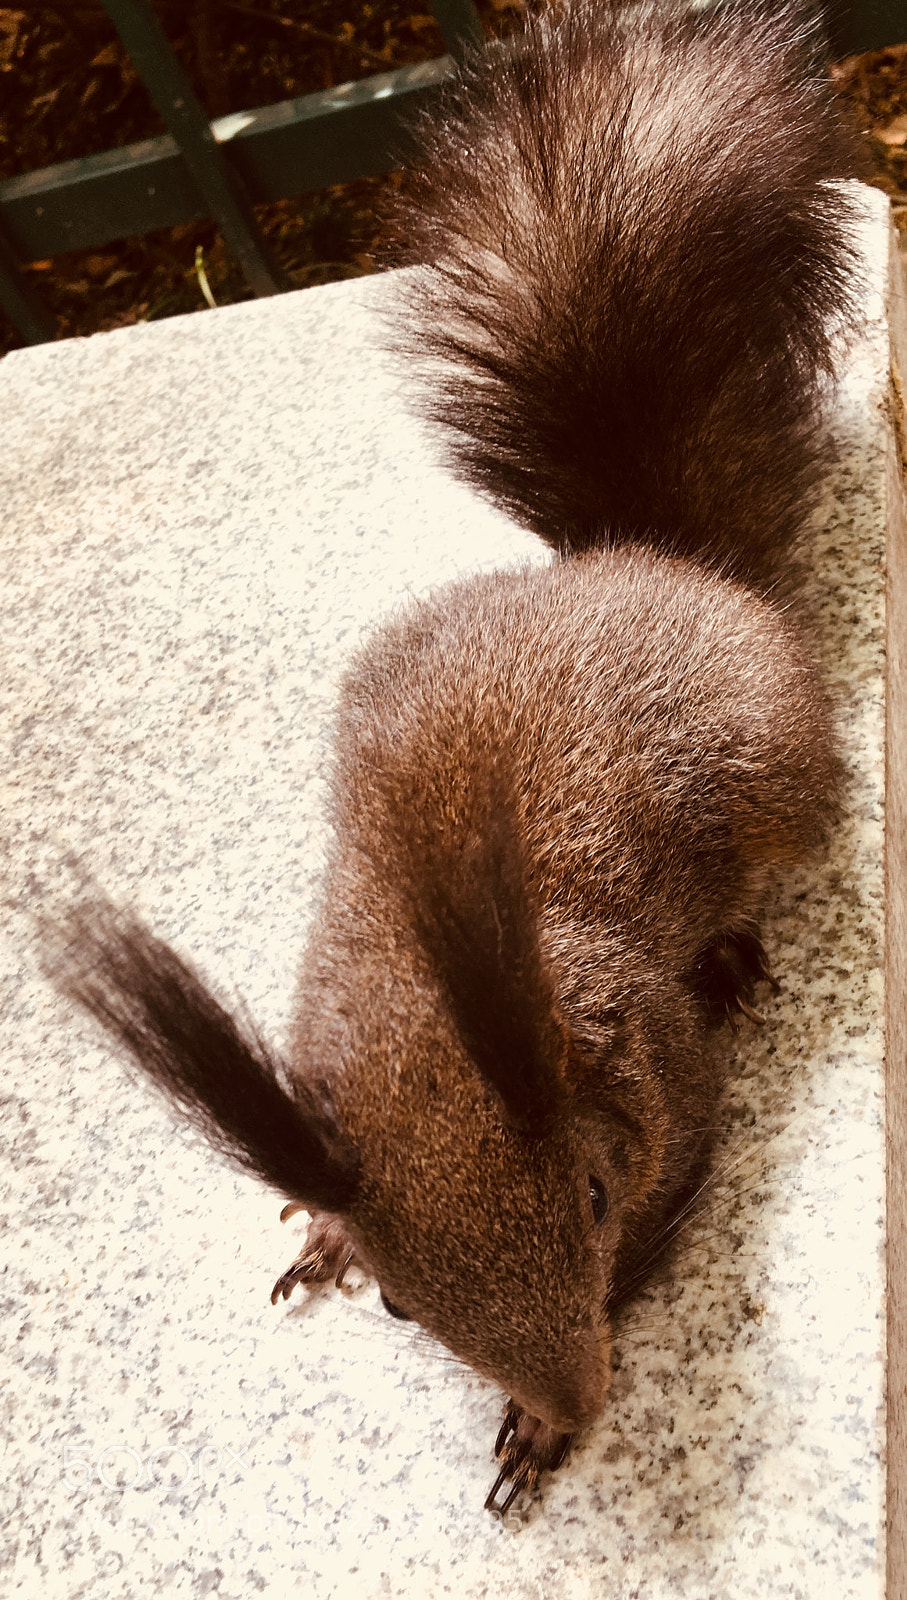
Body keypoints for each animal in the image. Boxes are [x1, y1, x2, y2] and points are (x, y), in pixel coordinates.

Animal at [51, 0, 862, 1516]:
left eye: (595, 1203)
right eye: (399, 1305)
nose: (581, 1396)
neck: (428, 1022)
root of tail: (644, 562)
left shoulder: (669, 1090)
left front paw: (541, 1426)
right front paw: (320, 1230)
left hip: (776, 784)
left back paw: (730, 945)